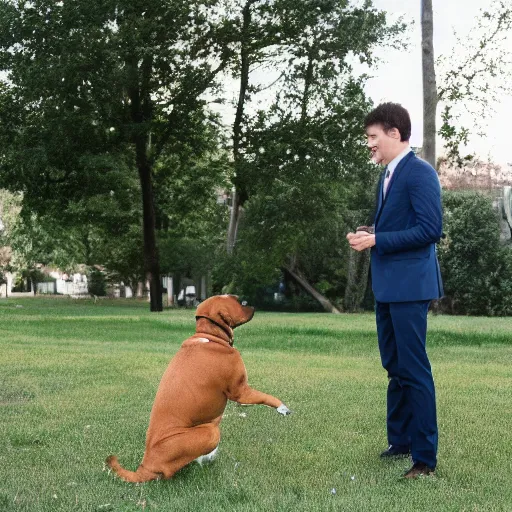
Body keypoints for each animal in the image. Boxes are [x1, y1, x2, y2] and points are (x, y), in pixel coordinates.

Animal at [106, 294, 290, 482]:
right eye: (237, 301)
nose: (251, 304)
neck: (209, 335)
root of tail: (145, 466)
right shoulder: (241, 391)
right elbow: (266, 397)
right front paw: (282, 407)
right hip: (211, 432)